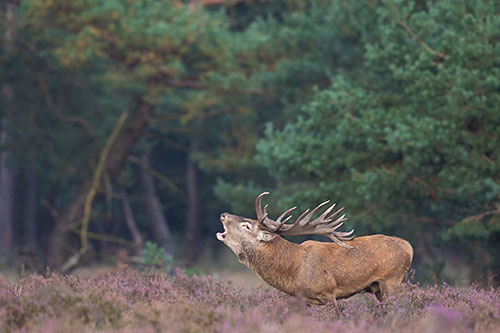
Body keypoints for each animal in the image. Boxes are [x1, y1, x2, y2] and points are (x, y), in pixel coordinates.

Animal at [217, 191, 412, 310]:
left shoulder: (328, 293)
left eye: (246, 225)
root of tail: (408, 247)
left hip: (392, 281)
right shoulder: (304, 300)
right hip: (379, 288)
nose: (223, 214)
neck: (294, 271)